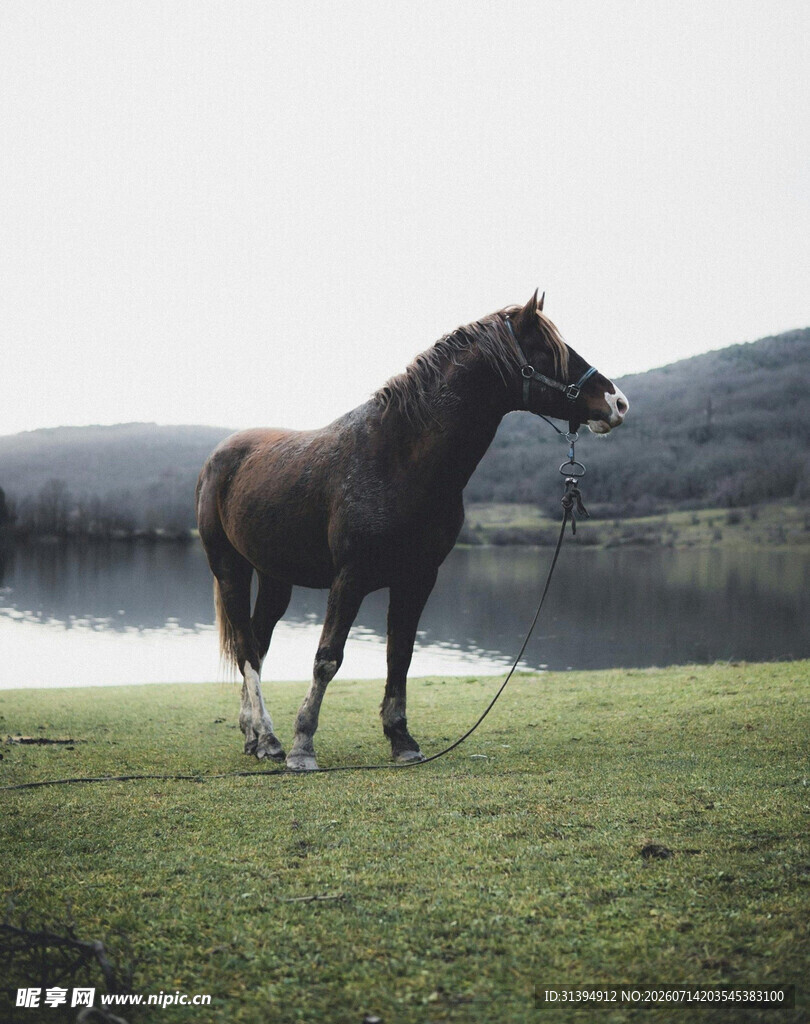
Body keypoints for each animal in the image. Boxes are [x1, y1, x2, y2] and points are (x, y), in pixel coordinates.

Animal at [195, 291, 628, 770]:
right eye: (547, 351)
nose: (617, 403)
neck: (396, 459)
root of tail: (218, 457)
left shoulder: (418, 578)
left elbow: (399, 657)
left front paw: (401, 740)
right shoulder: (350, 578)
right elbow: (327, 659)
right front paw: (302, 746)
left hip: (275, 579)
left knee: (256, 641)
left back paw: (254, 736)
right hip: (230, 569)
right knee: (247, 648)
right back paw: (270, 738)